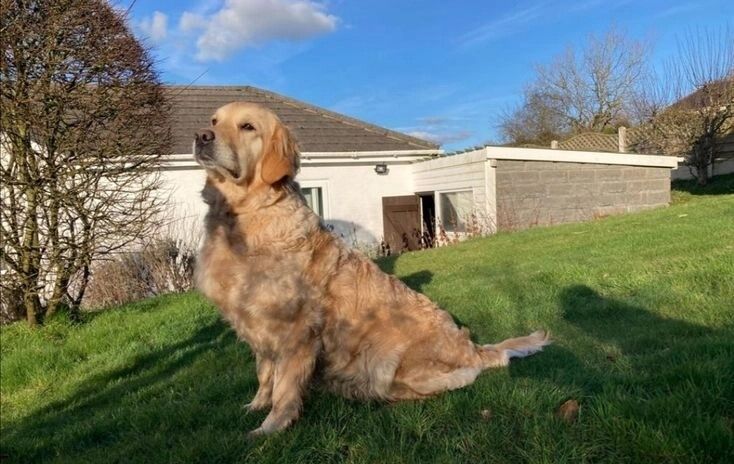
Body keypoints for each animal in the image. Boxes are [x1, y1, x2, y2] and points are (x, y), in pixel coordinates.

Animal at [193, 101, 548, 436]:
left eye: (247, 126)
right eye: (214, 120)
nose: (201, 136)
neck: (244, 215)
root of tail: (474, 348)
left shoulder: (295, 330)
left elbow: (283, 387)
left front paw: (270, 428)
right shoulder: (258, 327)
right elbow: (265, 375)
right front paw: (255, 406)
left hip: (387, 357)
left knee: (455, 381)